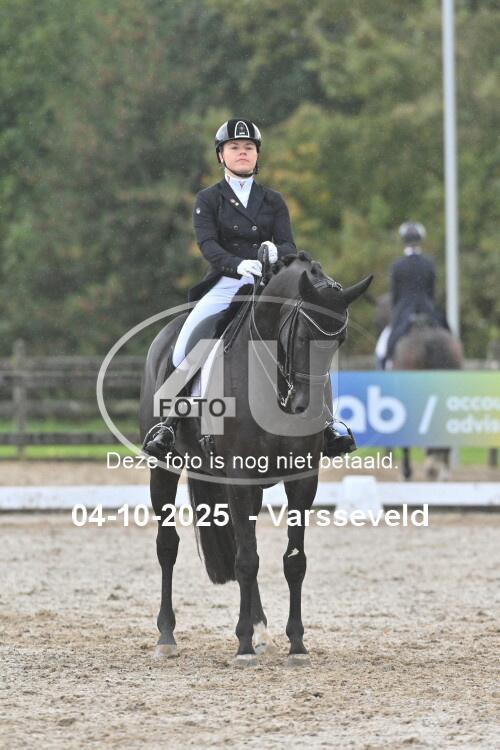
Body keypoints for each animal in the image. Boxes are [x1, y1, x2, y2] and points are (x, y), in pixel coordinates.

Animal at [139, 251, 372, 665]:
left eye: (338, 341)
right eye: (302, 336)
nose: (304, 408)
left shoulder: (301, 480)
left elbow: (293, 560)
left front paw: (296, 644)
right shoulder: (240, 477)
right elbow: (247, 560)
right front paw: (244, 646)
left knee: (240, 543)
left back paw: (262, 629)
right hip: (164, 469)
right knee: (168, 546)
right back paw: (167, 636)